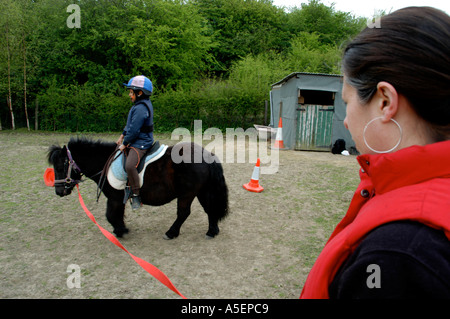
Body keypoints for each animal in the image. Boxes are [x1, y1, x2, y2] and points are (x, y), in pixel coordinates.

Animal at [48, 138, 230, 240]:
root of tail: (206, 154)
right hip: (201, 191)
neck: (104, 162)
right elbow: (116, 215)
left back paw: (171, 233)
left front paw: (121, 230)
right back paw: (212, 231)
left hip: (187, 194)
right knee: (210, 209)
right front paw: (120, 229)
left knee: (183, 213)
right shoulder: (118, 199)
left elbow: (110, 215)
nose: (59, 191)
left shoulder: (114, 198)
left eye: (60, 166)